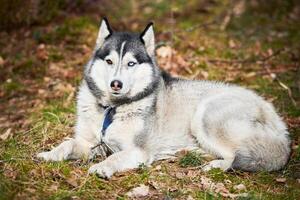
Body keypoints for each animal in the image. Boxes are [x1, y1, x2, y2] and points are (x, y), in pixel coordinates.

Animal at [36, 18, 290, 178]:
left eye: (131, 63)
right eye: (109, 61)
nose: (116, 84)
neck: (111, 110)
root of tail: (273, 115)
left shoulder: (137, 151)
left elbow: (114, 158)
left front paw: (102, 167)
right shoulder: (91, 143)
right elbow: (68, 143)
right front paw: (49, 154)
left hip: (205, 116)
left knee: (235, 156)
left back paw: (216, 165)